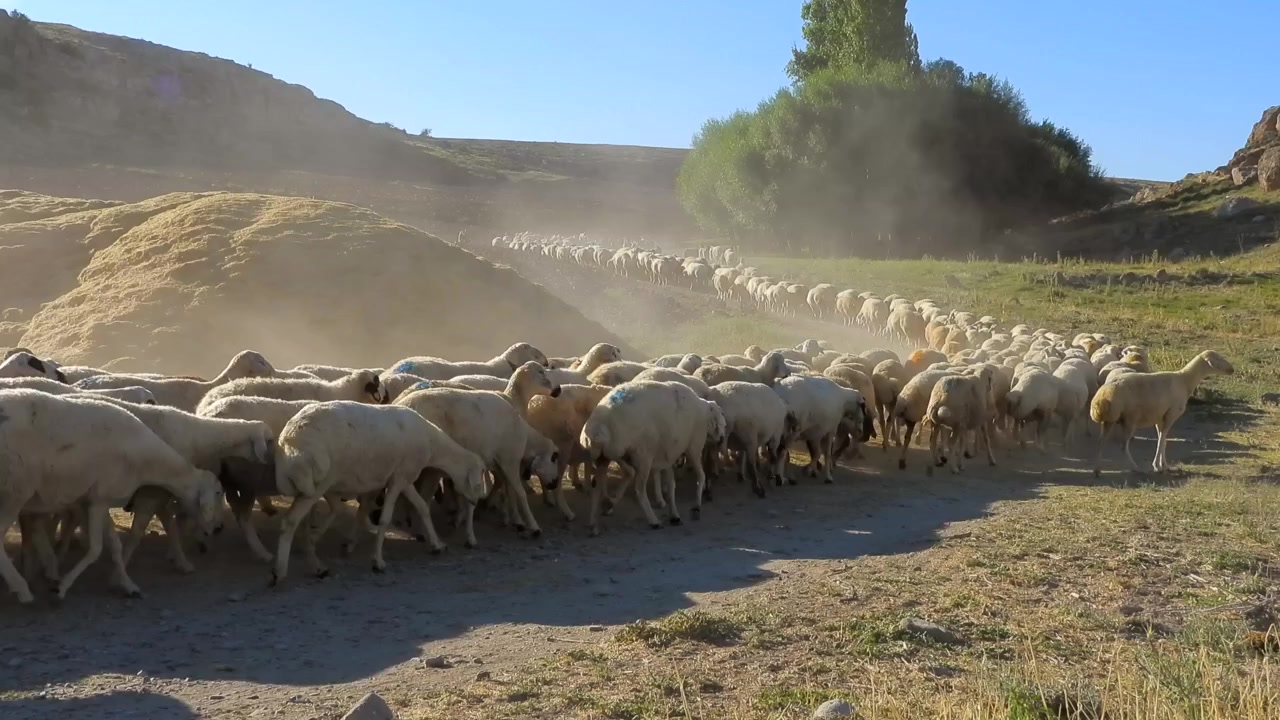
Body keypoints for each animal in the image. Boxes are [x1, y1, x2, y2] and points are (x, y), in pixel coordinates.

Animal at [0, 390, 224, 602]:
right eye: (218, 493)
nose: (218, 528)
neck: (146, 458)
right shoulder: (98, 501)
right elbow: (96, 549)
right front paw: (61, 588)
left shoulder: (97, 500)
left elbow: (115, 546)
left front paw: (128, 586)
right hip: (12, 495)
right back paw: (23, 589)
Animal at [270, 401, 486, 584]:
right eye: (480, 478)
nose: (477, 502)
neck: (432, 444)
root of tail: (289, 441)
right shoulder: (400, 478)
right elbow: (384, 518)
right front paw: (378, 562)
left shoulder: (403, 478)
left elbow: (422, 507)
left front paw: (437, 544)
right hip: (316, 484)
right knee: (290, 521)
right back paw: (282, 572)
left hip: (319, 484)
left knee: (320, 514)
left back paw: (312, 553)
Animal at [580, 381, 725, 534]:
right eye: (721, 416)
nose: (721, 438)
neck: (703, 413)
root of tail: (598, 427)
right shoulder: (693, 447)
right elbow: (700, 476)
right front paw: (696, 507)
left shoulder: (668, 455)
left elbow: (671, 485)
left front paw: (674, 515)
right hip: (641, 455)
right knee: (639, 489)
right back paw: (653, 520)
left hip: (604, 457)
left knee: (598, 489)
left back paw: (595, 522)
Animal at [1090, 350, 1234, 476]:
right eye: (1218, 358)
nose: (1232, 369)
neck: (1185, 381)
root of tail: (1101, 399)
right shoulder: (1171, 414)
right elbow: (1162, 439)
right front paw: (1157, 466)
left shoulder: (1160, 417)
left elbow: (1163, 439)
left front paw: (1163, 465)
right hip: (1129, 420)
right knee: (1122, 446)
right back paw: (1136, 468)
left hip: (1109, 420)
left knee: (1101, 441)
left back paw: (1097, 469)